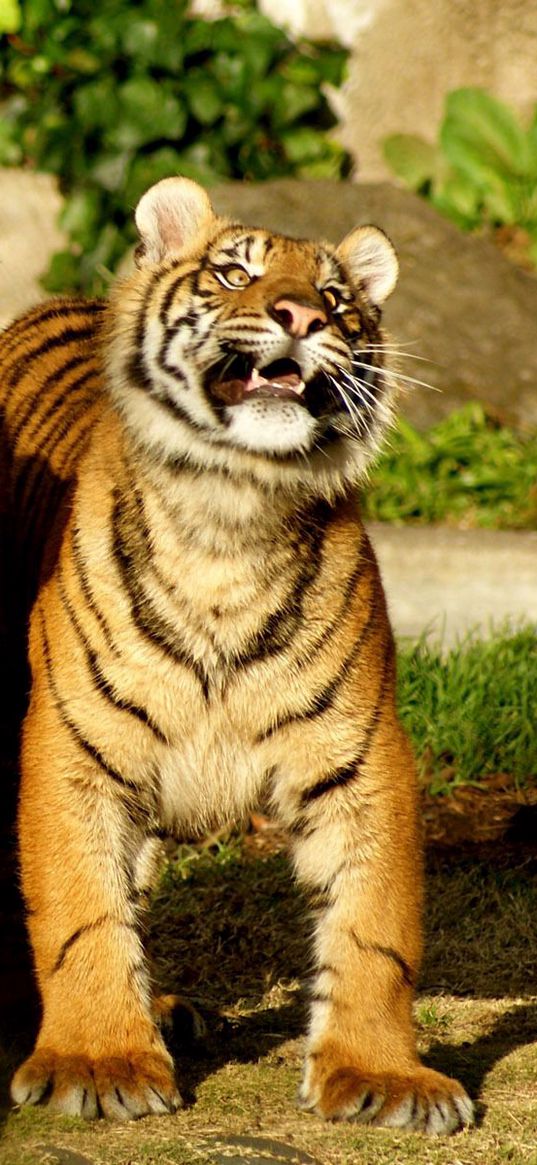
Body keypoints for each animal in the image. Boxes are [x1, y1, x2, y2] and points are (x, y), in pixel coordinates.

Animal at [0, 177, 468, 1132]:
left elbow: (375, 925)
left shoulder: (364, 754)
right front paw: (97, 1060)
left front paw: (381, 1074)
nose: (300, 315)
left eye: (335, 298)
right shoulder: (70, 749)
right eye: (234, 273)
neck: (232, 510)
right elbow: (77, 909)